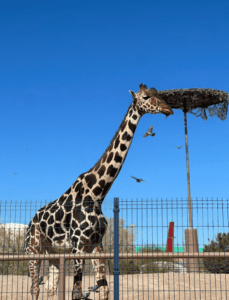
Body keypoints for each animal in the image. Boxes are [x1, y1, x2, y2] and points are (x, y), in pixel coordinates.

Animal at [25, 82, 174, 300]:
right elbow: (76, 292)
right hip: (33, 248)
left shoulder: (96, 245)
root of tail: (30, 222)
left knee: (50, 288)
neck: (97, 194)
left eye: (158, 93)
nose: (168, 109)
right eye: (145, 97)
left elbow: (104, 289)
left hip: (52, 252)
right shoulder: (78, 245)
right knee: (34, 287)